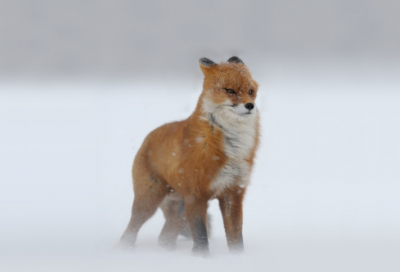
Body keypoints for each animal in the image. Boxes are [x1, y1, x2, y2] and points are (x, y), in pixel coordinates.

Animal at [120, 56, 260, 254]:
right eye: (230, 90)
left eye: (251, 91)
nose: (250, 105)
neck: (231, 146)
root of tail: (148, 137)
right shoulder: (195, 194)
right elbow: (201, 237)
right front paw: (201, 258)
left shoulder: (232, 193)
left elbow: (236, 238)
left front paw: (237, 258)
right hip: (149, 201)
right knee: (129, 232)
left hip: (179, 208)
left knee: (165, 237)